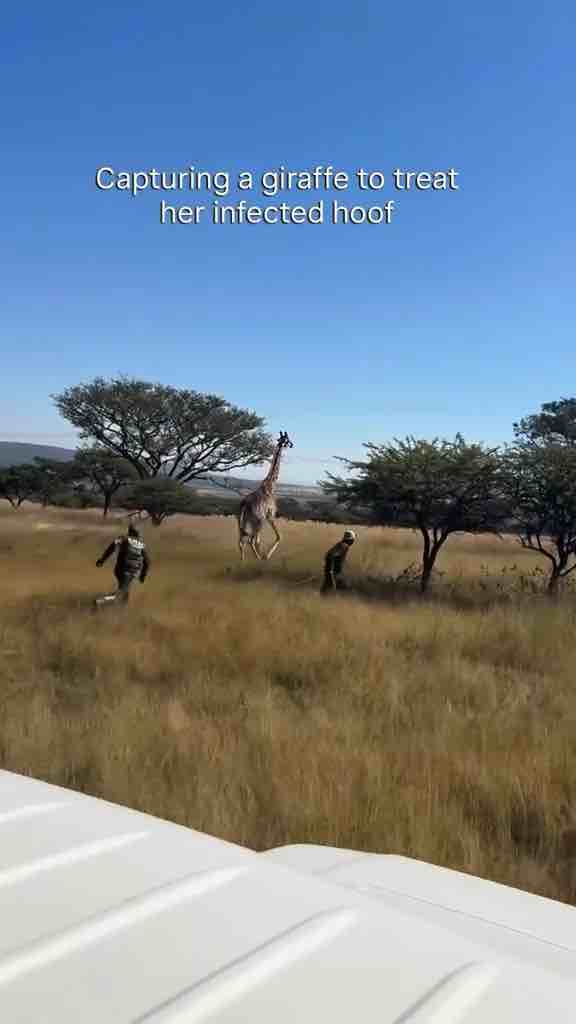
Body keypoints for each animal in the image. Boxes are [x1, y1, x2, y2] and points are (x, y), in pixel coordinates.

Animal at [237, 431, 294, 561]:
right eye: (287, 439)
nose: (292, 444)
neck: (270, 485)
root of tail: (245, 504)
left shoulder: (267, 517)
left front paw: (264, 555)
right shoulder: (271, 515)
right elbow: (279, 536)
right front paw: (266, 556)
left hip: (243, 520)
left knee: (242, 540)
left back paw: (242, 561)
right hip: (259, 520)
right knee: (251, 540)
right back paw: (258, 559)